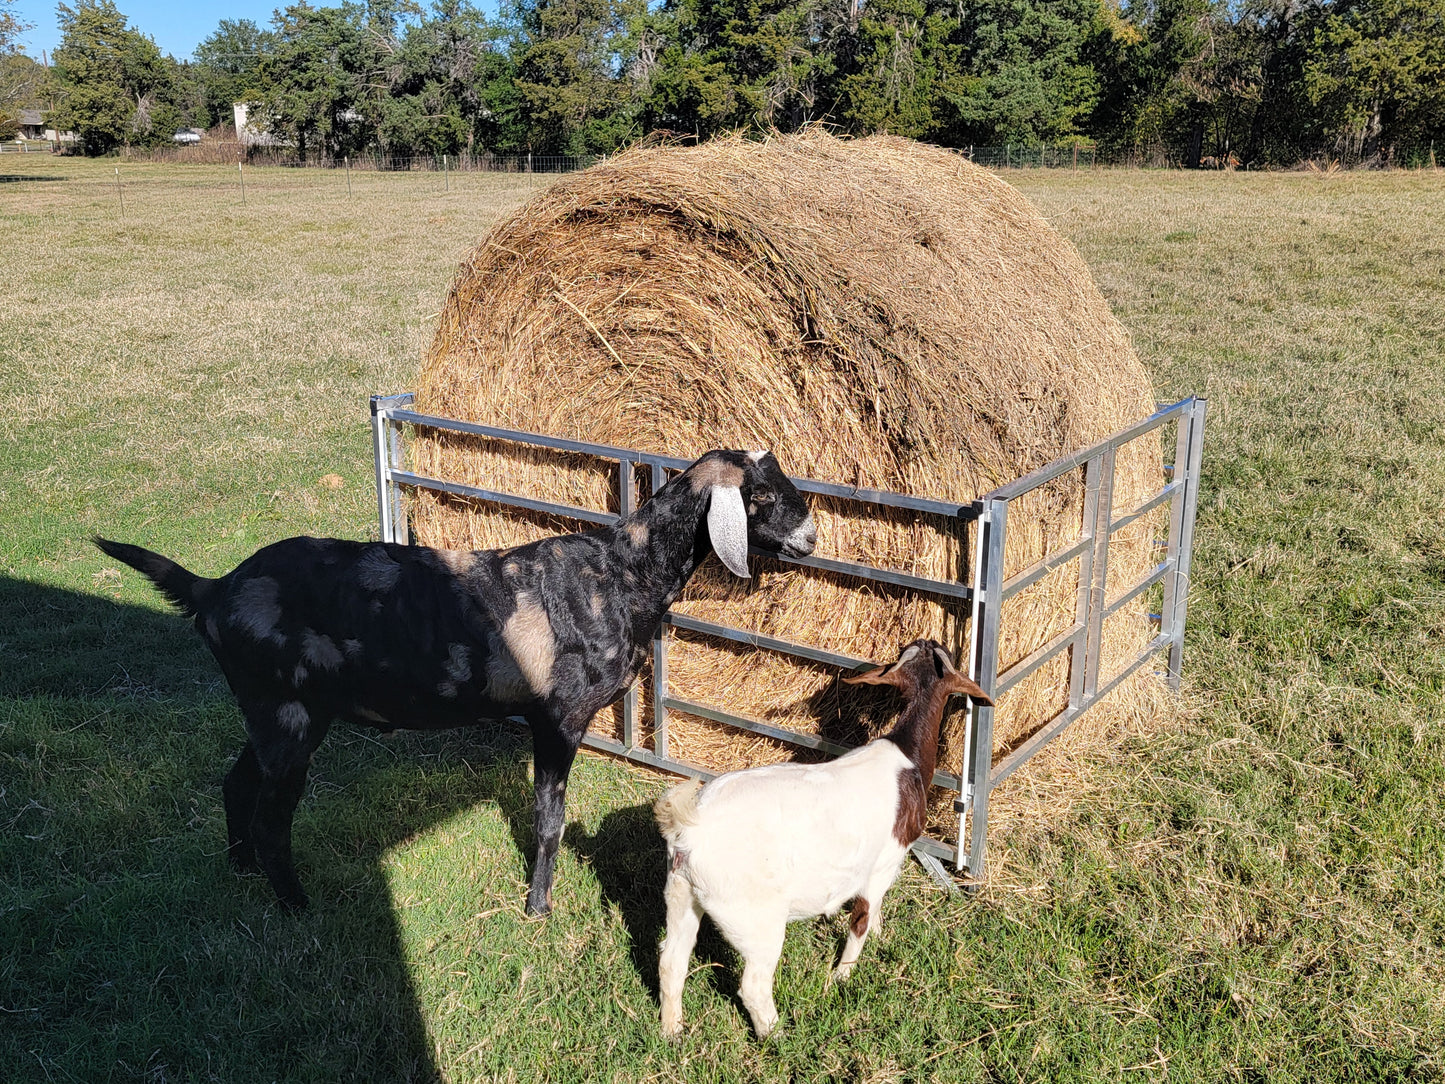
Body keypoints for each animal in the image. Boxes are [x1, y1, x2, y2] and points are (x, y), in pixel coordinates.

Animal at [93, 448, 815, 915]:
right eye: (761, 497)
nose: (811, 536)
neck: (622, 574)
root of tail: (213, 591)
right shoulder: (560, 716)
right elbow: (549, 819)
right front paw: (537, 907)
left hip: (274, 712)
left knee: (236, 782)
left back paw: (240, 866)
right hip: (285, 713)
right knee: (274, 817)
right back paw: (298, 906)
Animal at [653, 638, 991, 1038]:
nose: (930, 641)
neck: (905, 755)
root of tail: (689, 828)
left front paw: (879, 936)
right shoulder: (884, 863)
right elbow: (861, 917)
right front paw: (844, 974)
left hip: (681, 893)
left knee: (671, 961)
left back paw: (672, 1031)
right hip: (753, 915)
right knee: (754, 984)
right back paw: (777, 1036)